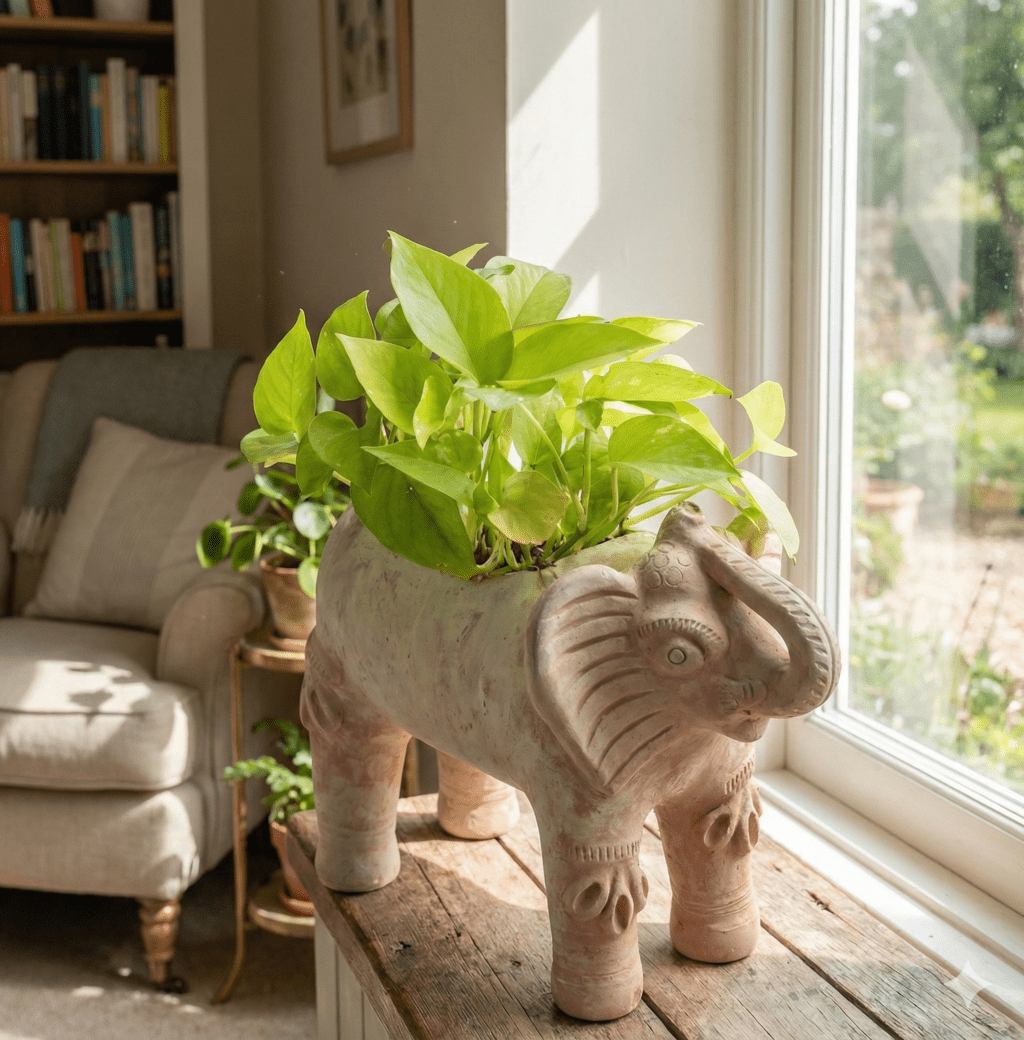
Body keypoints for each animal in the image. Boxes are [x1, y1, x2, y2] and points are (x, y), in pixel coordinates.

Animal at [299, 504, 841, 1021]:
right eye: (679, 655)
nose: (686, 517)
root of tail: (347, 520)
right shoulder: (572, 765)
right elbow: (596, 881)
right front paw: (604, 1013)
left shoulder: (712, 754)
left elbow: (720, 835)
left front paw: (723, 956)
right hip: (345, 653)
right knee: (352, 742)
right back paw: (358, 884)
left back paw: (478, 832)